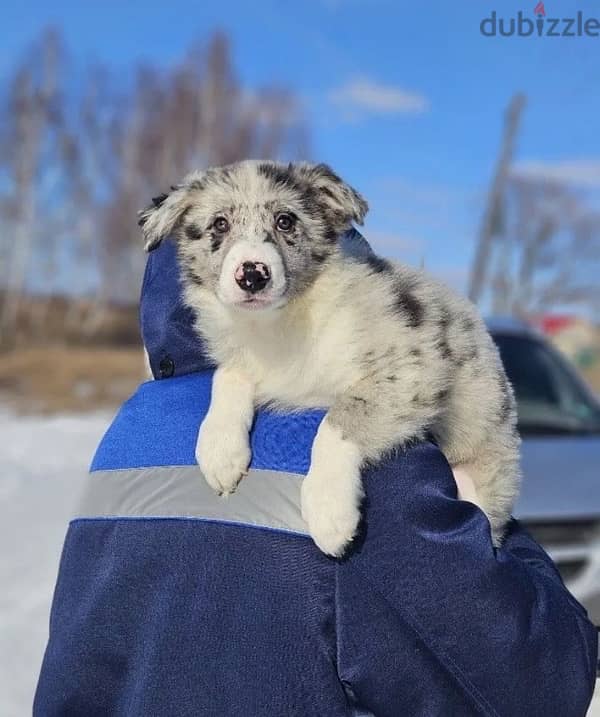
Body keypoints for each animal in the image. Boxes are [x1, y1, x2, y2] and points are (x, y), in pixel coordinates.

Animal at [139, 159, 520, 556]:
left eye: (285, 221)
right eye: (219, 224)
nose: (253, 275)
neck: (277, 324)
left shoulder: (413, 367)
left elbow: (338, 420)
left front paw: (328, 509)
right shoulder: (252, 362)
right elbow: (226, 375)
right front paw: (220, 449)